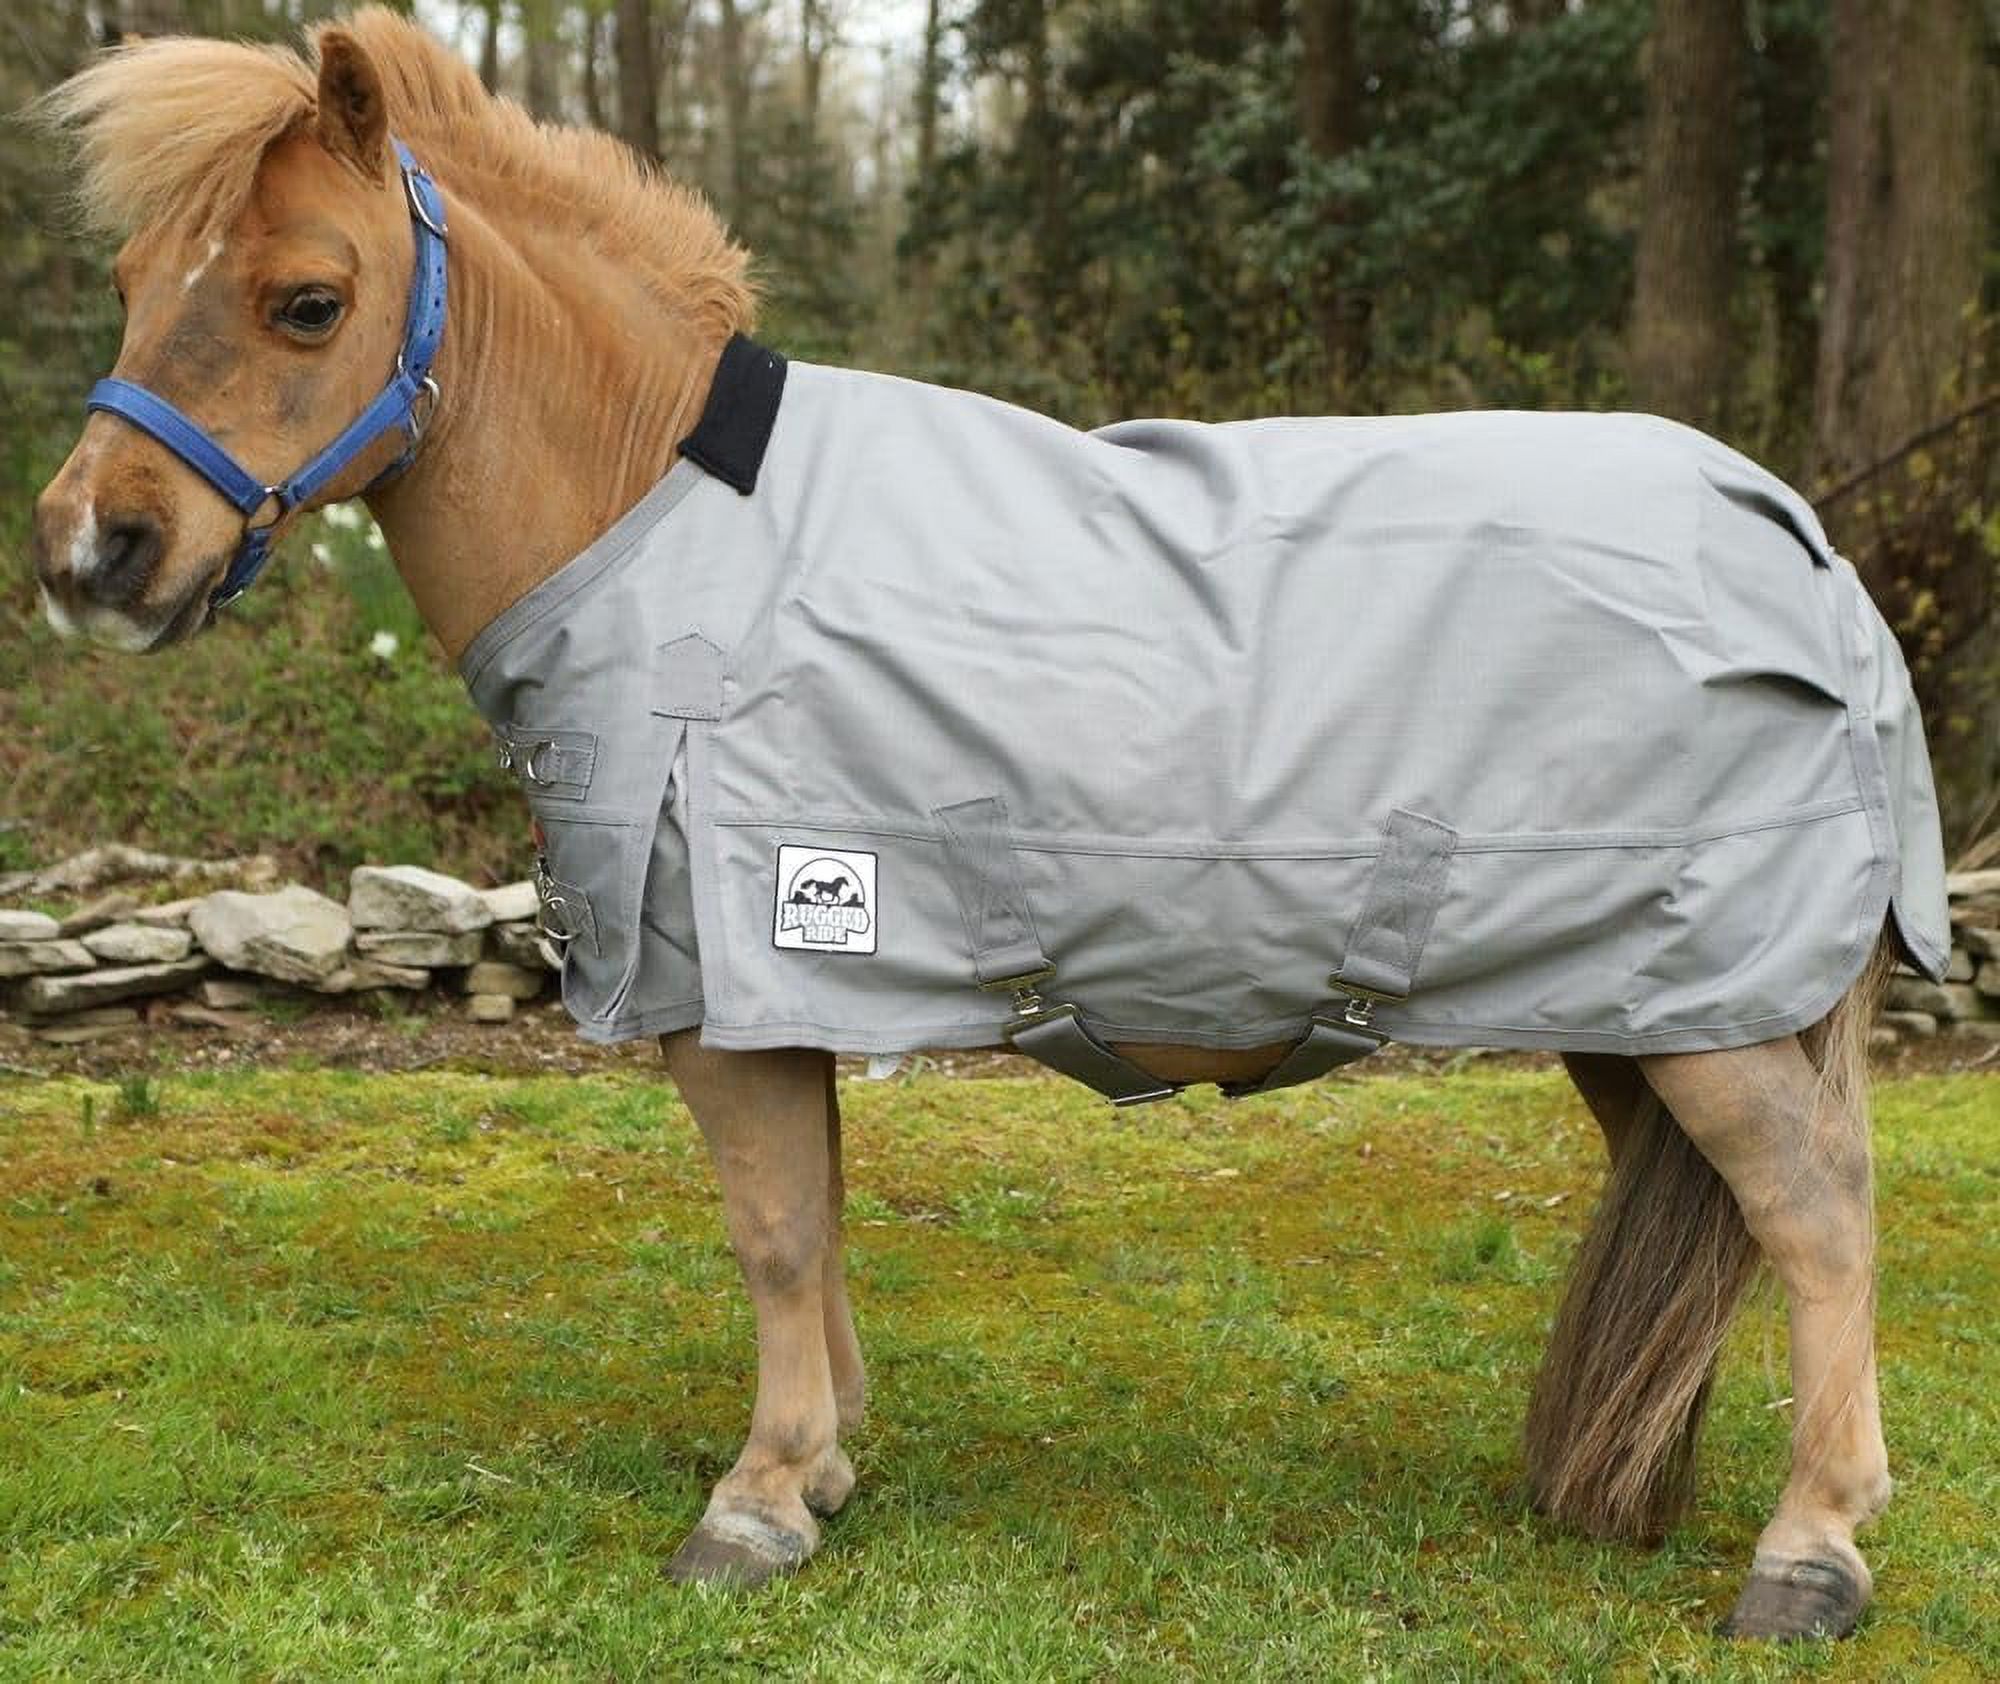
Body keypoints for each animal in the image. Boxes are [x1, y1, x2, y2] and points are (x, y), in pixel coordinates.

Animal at [26, 10, 1936, 1641]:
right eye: (126, 281)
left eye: (304, 301)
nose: (91, 552)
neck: (669, 523)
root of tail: (1800, 539)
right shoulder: (794, 989)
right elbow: (814, 1223)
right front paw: (825, 1466)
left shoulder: (733, 981)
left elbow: (774, 1230)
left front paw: (758, 1499)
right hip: (1642, 999)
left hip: (1718, 1003)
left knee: (1820, 1214)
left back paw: (1811, 1548)